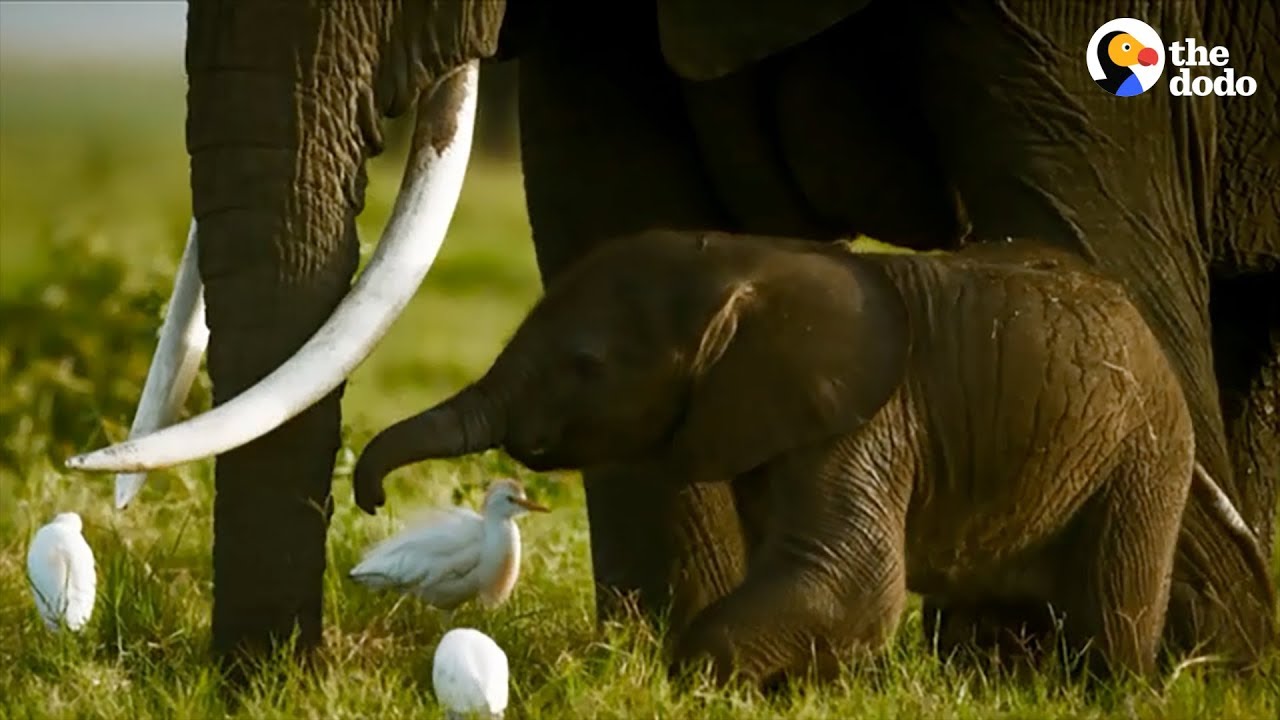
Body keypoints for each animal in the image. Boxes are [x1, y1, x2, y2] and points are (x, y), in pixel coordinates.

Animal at [350, 229, 1275, 684]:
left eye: (585, 365)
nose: (368, 497)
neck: (752, 262)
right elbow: (818, 574)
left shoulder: (865, 416)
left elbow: (852, 579)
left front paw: (689, 687)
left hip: (1144, 444)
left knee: (1112, 598)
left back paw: (1108, 693)